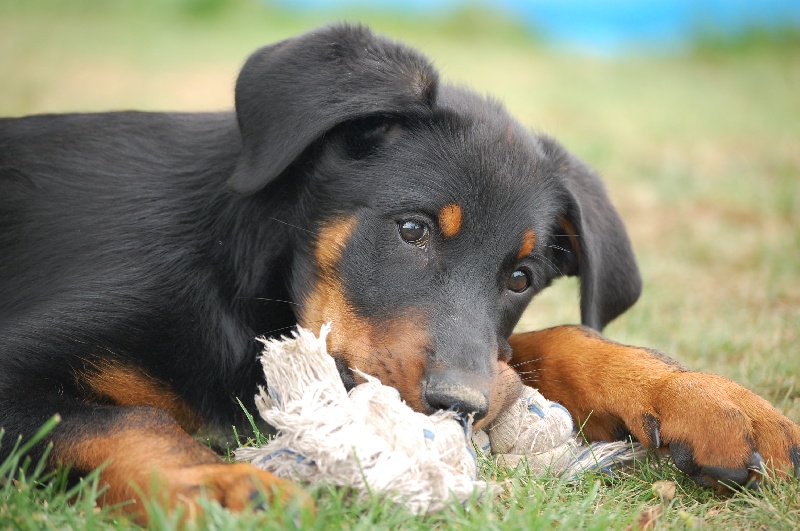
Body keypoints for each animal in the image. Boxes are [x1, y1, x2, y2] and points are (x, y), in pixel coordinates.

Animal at [0, 23, 796, 520]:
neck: (244, 274)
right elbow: (123, 420)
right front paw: (223, 485)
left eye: (521, 277)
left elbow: (556, 339)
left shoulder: (481, 355)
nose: (460, 410)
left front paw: (705, 397)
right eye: (412, 230)